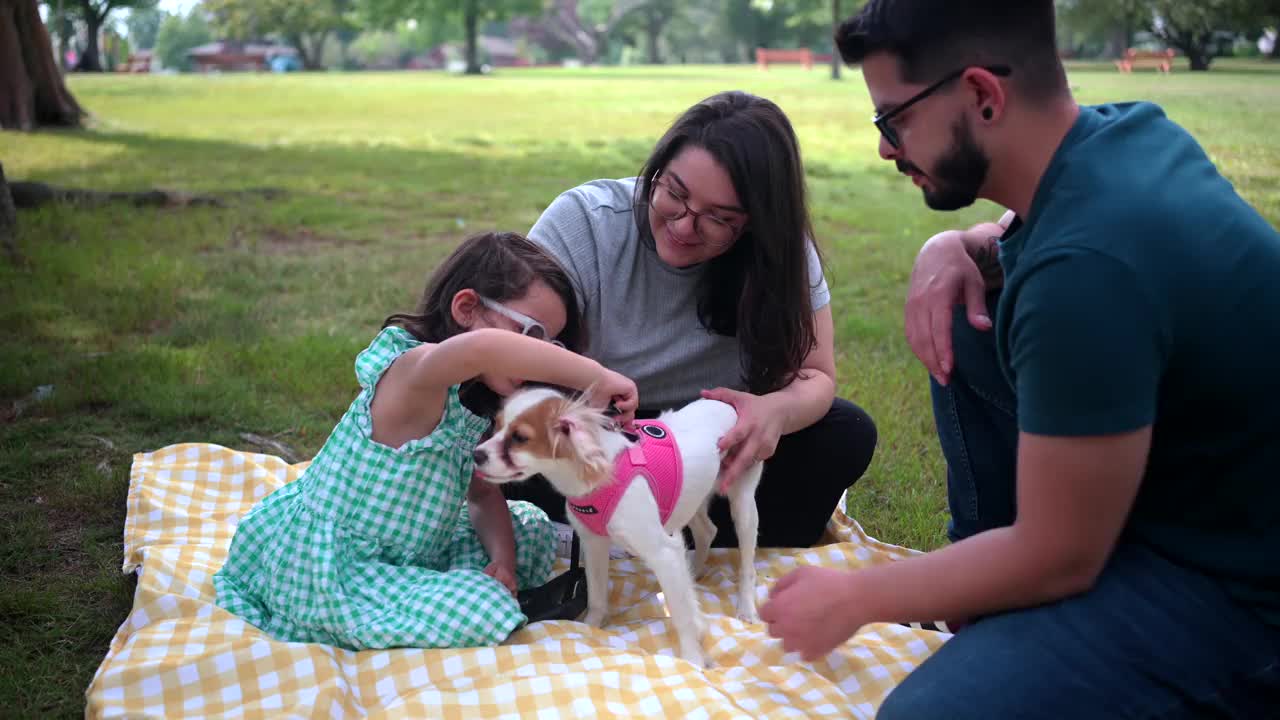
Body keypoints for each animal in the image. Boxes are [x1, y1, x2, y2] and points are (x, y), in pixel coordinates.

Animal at [478, 384, 757, 666]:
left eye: (520, 438)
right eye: (495, 425)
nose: (476, 454)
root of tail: (728, 402)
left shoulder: (663, 553)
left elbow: (681, 614)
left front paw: (693, 659)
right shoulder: (593, 545)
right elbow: (597, 596)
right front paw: (590, 627)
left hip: (742, 501)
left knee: (746, 563)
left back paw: (745, 607)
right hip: (691, 500)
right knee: (707, 531)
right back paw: (694, 571)